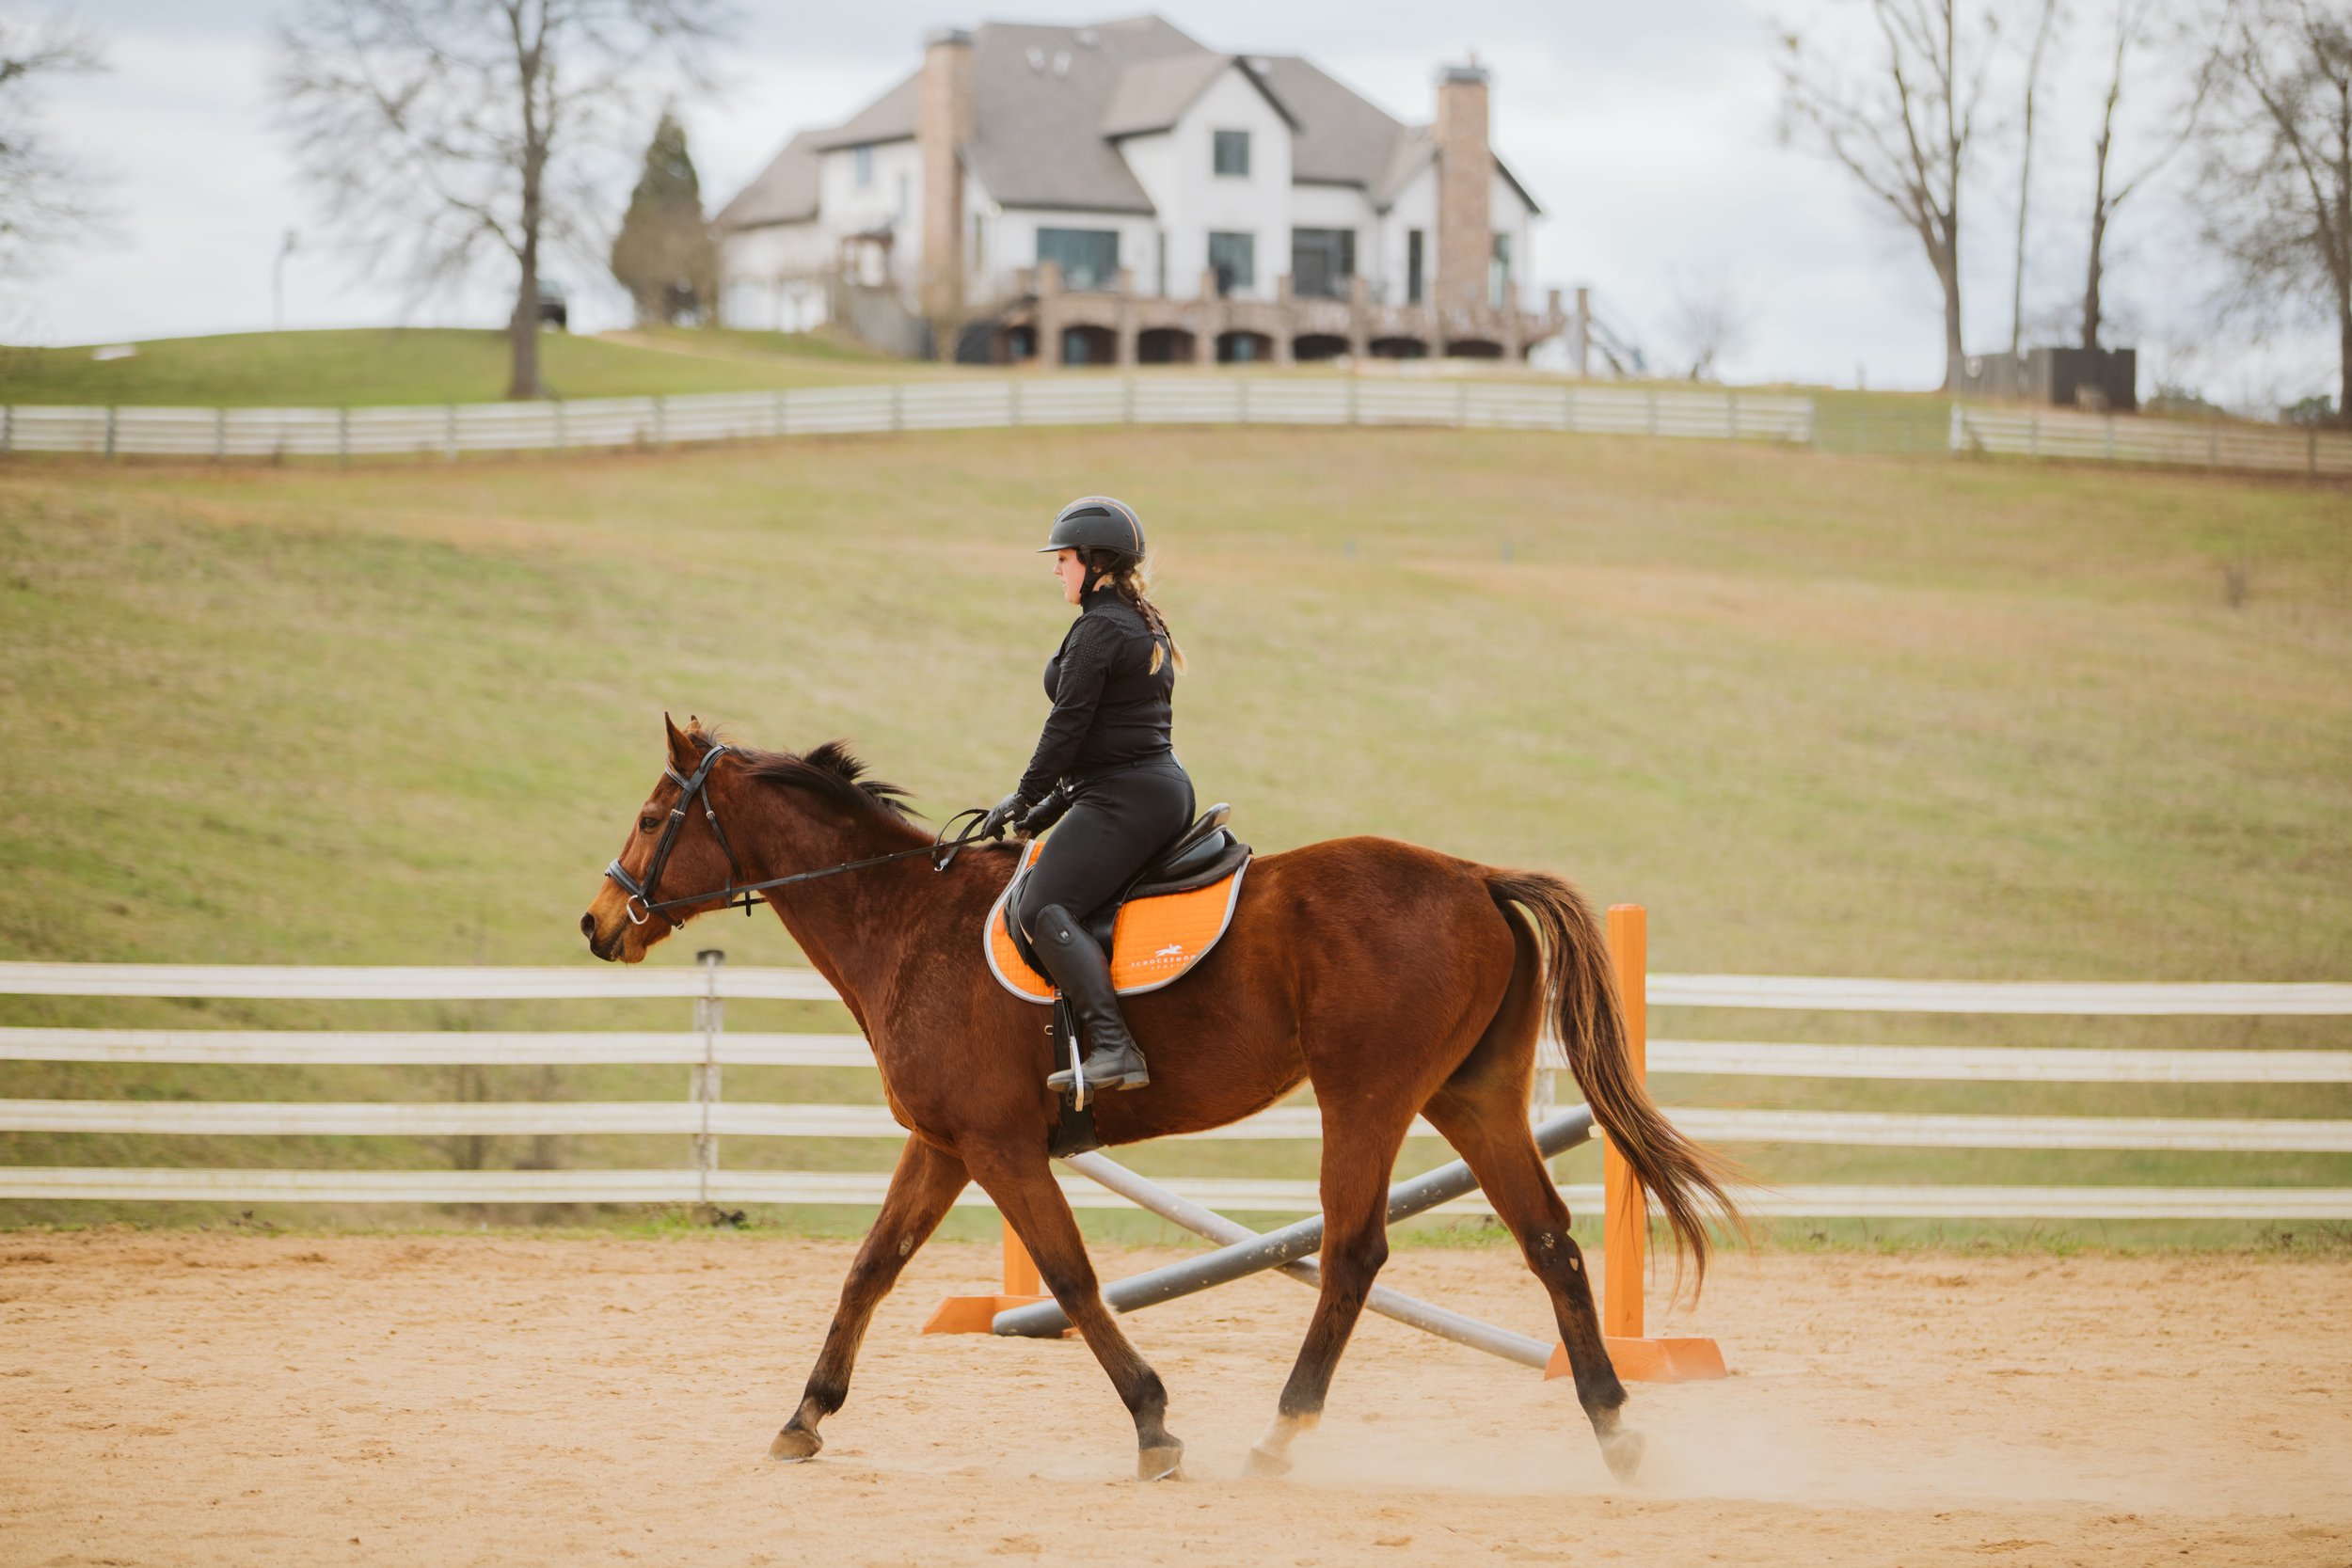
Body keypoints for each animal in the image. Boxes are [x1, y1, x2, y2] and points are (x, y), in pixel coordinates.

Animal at [580, 717, 1738, 1483]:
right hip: (1473, 1098)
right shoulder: (944, 1144)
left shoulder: (1000, 1147)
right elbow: (870, 1269)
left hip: (1366, 1097)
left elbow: (1071, 1276)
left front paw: (1153, 1423)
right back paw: (1615, 1426)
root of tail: (1471, 874)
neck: (902, 919)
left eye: (651, 816)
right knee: (1548, 1241)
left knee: (1354, 1251)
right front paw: (805, 1415)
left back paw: (1281, 1432)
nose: (598, 923)